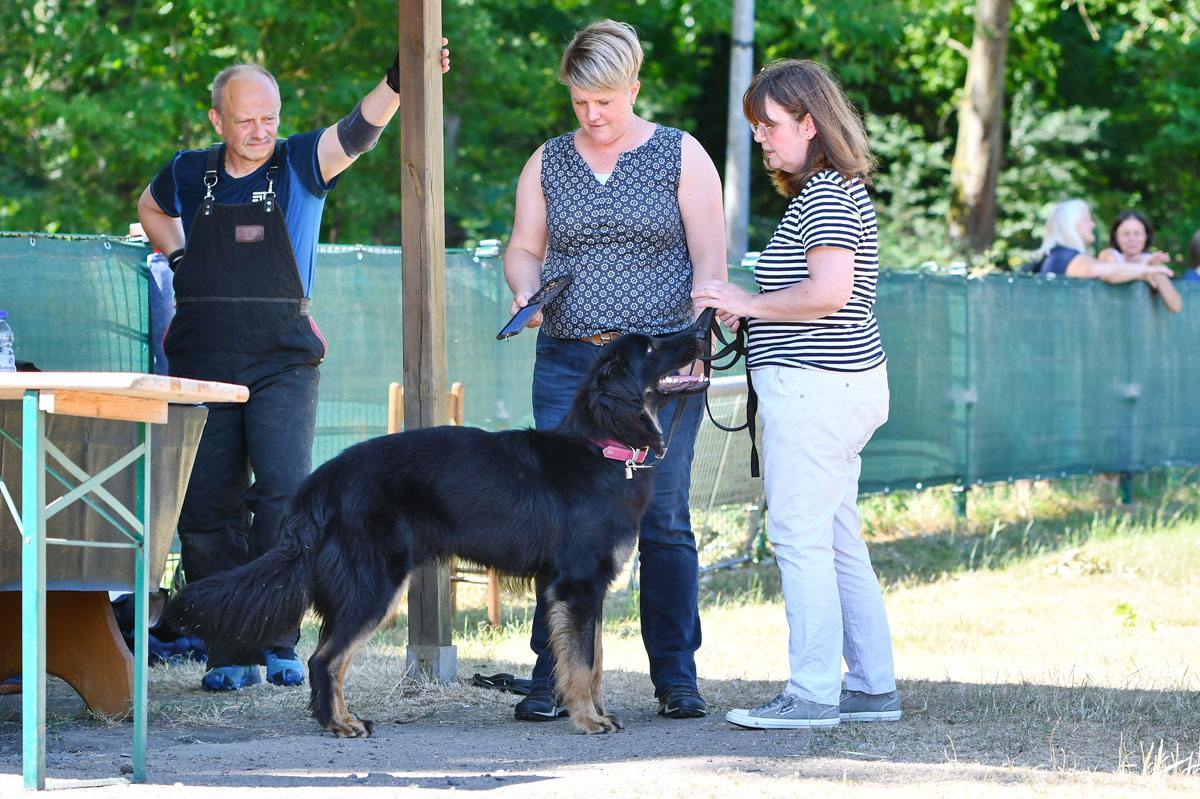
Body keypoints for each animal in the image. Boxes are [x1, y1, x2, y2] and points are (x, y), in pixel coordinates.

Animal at [169, 316, 710, 734]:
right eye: (651, 347)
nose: (701, 331)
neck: (603, 448)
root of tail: (322, 482)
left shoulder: (585, 590)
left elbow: (594, 661)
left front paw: (597, 712)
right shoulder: (577, 586)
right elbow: (580, 662)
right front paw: (588, 720)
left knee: (326, 655)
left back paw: (334, 719)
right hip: (376, 585)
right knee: (325, 658)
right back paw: (339, 724)